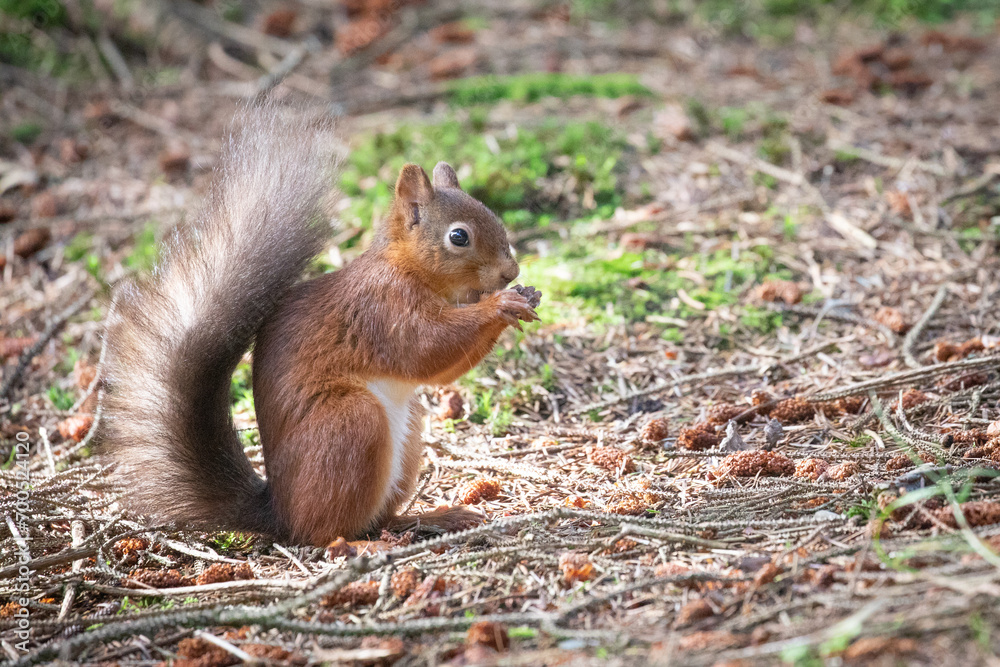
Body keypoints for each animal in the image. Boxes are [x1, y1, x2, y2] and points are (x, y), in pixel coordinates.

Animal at [101, 102, 540, 544]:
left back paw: (438, 517)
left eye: (492, 214)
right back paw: (357, 546)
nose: (511, 271)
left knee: (379, 519)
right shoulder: (381, 309)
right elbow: (426, 349)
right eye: (459, 237)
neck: (407, 268)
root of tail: (280, 513)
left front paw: (526, 296)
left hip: (409, 431)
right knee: (328, 530)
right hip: (351, 424)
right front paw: (501, 305)